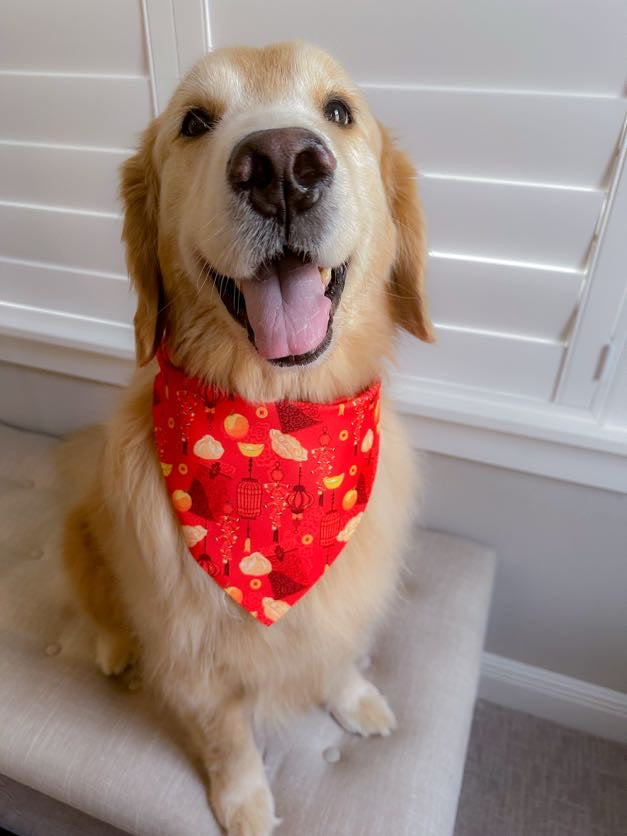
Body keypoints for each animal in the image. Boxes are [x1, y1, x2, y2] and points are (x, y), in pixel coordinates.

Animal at [61, 40, 432, 836]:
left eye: (339, 111)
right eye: (195, 122)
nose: (282, 165)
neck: (277, 417)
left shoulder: (340, 600)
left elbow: (336, 655)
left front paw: (355, 700)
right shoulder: (193, 661)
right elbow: (227, 738)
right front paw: (244, 801)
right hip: (81, 531)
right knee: (102, 611)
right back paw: (114, 650)